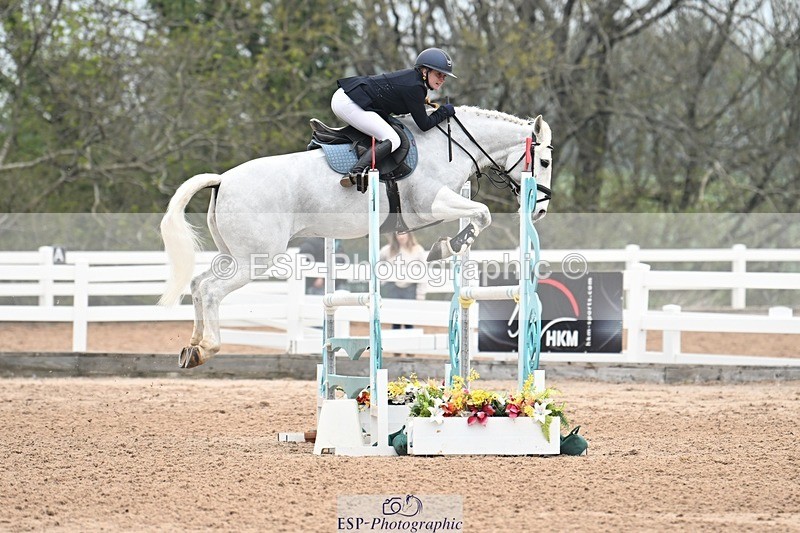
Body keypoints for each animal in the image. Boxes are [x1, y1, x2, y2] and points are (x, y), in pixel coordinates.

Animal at [158, 106, 554, 368]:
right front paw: (447, 247)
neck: (448, 146)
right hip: (255, 259)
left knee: (198, 284)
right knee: (211, 290)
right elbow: (482, 213)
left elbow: (477, 214)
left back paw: (192, 347)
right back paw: (207, 347)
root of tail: (222, 179)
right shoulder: (429, 204)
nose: (540, 210)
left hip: (233, 255)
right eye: (545, 162)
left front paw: (447, 246)